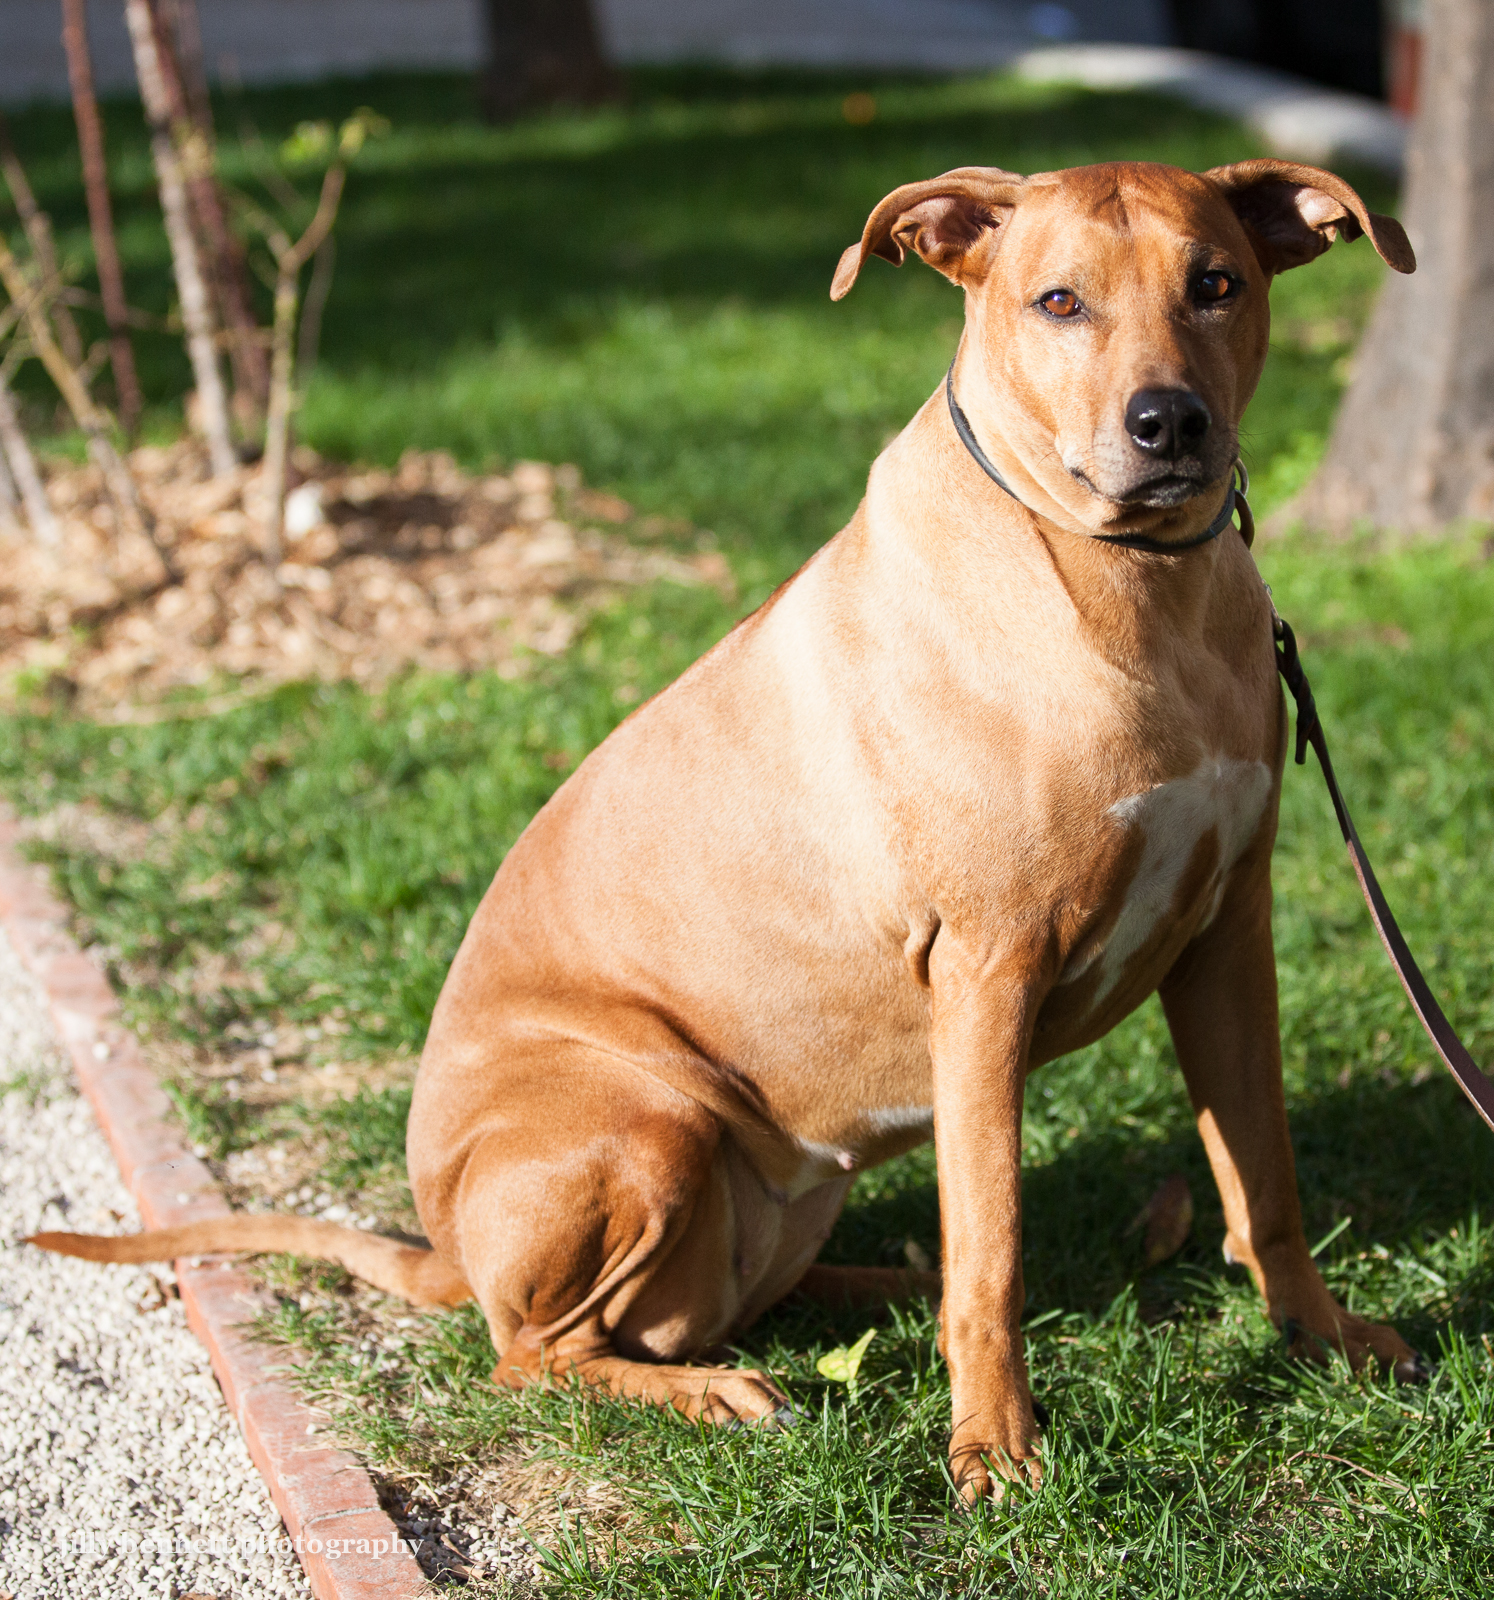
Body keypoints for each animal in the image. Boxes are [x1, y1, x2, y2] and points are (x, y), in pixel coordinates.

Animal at [32, 159, 1414, 1497]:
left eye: (1217, 283)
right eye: (1059, 302)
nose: (1168, 421)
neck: (1133, 585)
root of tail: (444, 1248)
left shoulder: (1227, 931)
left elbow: (1262, 1174)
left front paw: (1321, 1335)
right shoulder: (987, 965)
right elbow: (997, 1249)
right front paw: (996, 1449)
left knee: (749, 1293)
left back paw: (884, 1281)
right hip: (646, 1122)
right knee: (536, 1354)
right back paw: (715, 1389)